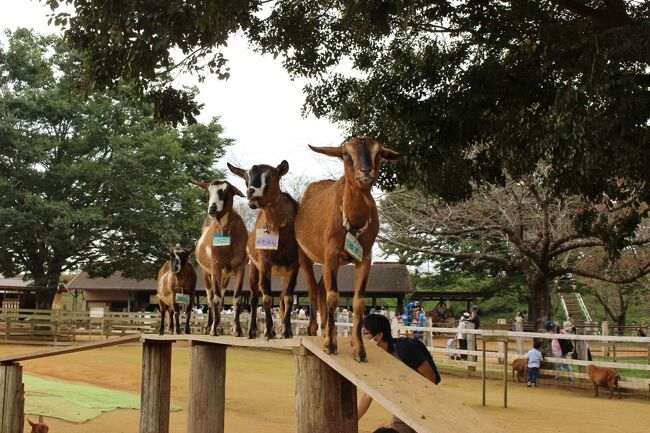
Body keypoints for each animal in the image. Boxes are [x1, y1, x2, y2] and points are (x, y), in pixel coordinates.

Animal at [191, 179, 247, 334]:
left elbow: (236, 299)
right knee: (211, 298)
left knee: (221, 298)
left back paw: (220, 327)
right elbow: (215, 299)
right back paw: (210, 326)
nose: (212, 209)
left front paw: (237, 329)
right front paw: (213, 329)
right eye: (207, 193)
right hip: (207, 273)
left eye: (226, 192)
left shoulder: (240, 268)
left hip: (225, 276)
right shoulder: (215, 266)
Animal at [227, 160, 300, 340]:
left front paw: (287, 331)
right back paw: (253, 330)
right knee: (254, 297)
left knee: (281, 297)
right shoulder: (265, 262)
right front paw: (269, 331)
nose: (251, 192)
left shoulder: (294, 264)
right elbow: (266, 296)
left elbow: (288, 297)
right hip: (254, 267)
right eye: (246, 178)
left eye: (272, 176)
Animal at [296, 137, 402, 360]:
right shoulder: (331, 253)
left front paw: (359, 348)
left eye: (379, 153)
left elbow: (358, 301)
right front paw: (330, 343)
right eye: (345, 153)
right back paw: (313, 330)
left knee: (321, 289)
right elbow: (333, 296)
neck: (353, 220)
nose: (366, 171)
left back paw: (325, 329)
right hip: (305, 254)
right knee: (313, 289)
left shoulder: (365, 257)